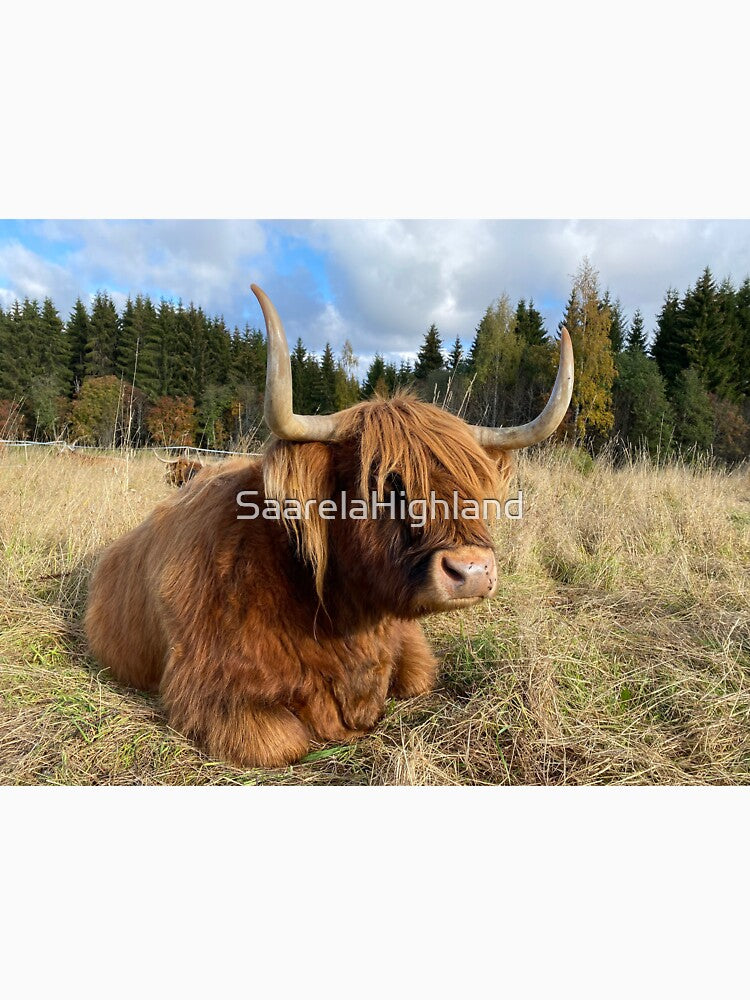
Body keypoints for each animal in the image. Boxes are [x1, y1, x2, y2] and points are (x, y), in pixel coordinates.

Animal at [85, 285, 574, 768]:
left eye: (473, 480)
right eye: (383, 480)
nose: (471, 571)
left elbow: (418, 677)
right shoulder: (206, 689)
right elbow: (285, 740)